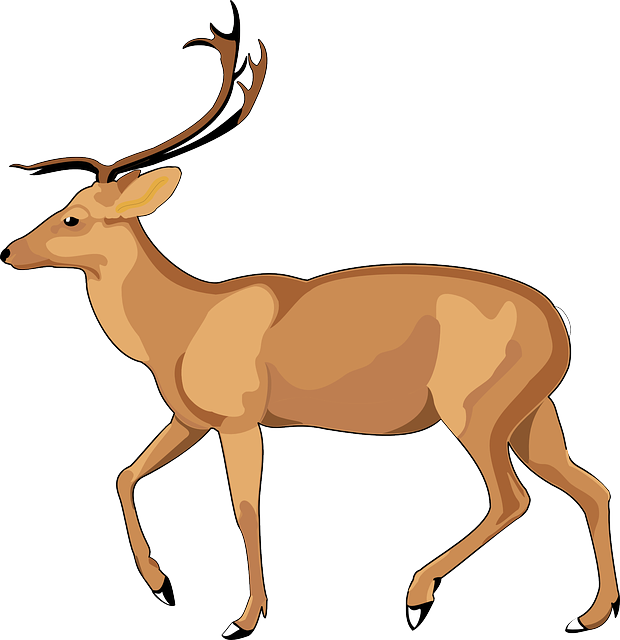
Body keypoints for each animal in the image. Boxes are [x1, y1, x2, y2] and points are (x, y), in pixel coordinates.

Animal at [2, 2, 618, 637]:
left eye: (72, 217)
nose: (9, 252)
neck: (179, 327)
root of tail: (562, 325)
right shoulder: (191, 418)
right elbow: (125, 472)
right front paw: (164, 586)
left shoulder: (239, 417)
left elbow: (244, 507)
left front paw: (244, 618)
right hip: (534, 411)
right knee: (591, 487)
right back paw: (589, 613)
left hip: (475, 407)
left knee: (512, 498)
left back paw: (417, 595)